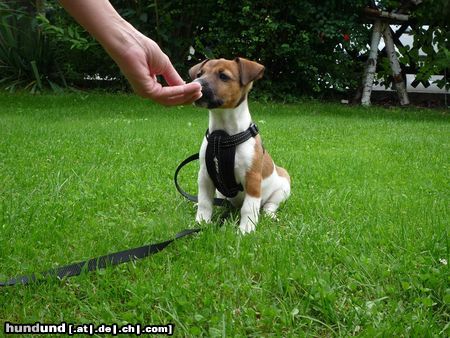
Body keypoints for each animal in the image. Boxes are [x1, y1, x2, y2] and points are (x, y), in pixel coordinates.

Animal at [188, 57, 290, 232]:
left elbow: (249, 207)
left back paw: (270, 215)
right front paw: (201, 222)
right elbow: (205, 202)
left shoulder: (252, 179)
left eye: (223, 76)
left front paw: (246, 229)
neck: (222, 138)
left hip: (282, 188)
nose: (195, 85)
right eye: (200, 74)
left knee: (269, 206)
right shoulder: (205, 176)